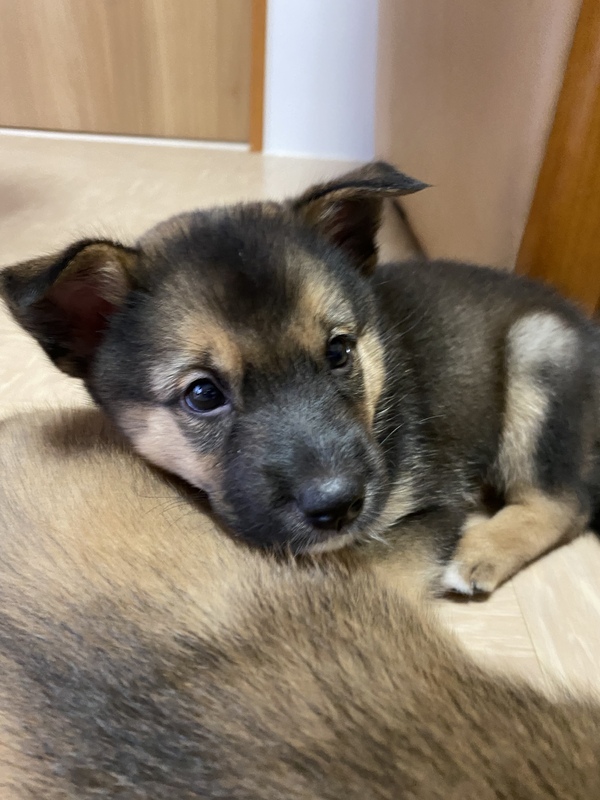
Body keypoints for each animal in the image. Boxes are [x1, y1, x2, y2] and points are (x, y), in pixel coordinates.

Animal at [2, 161, 600, 594]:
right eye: (203, 394)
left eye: (339, 351)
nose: (339, 506)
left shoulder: (433, 508)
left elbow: (364, 584)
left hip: (537, 350)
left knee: (565, 503)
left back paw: (480, 553)